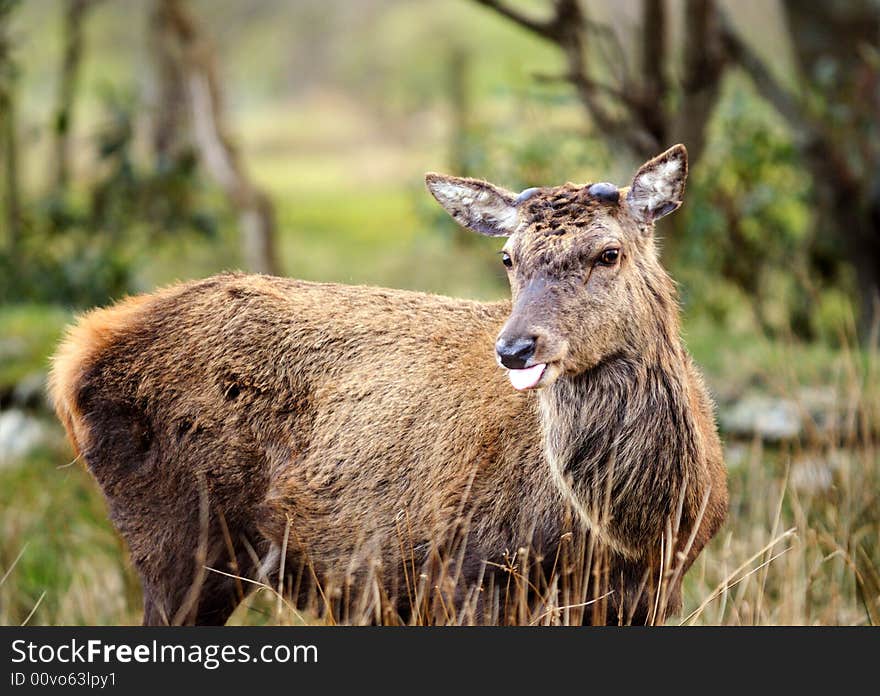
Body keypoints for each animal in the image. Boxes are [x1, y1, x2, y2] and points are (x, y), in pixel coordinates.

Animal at [51, 145, 732, 624]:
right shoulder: (471, 570)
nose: (515, 348)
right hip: (178, 536)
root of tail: (72, 359)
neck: (638, 527)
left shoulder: (652, 591)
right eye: (507, 258)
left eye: (609, 252)